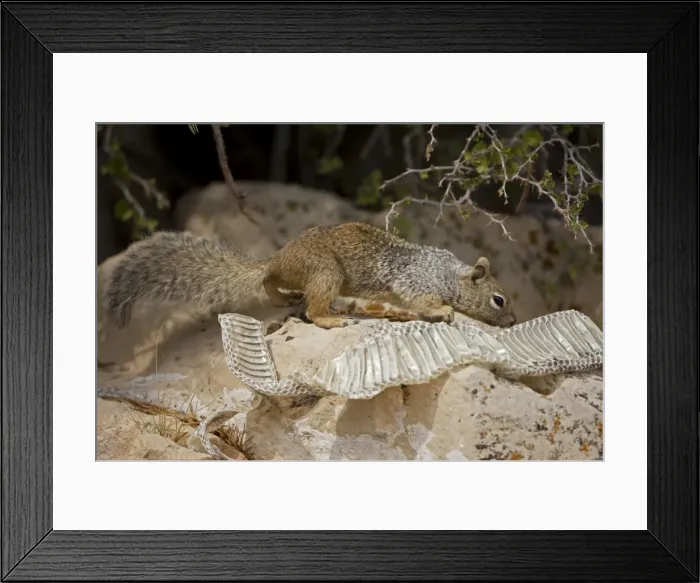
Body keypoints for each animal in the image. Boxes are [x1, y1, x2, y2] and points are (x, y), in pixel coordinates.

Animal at [105, 221, 517, 330]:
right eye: (499, 299)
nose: (514, 322)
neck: (451, 273)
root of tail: (277, 257)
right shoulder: (417, 281)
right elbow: (424, 301)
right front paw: (443, 312)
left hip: (300, 275)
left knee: (270, 283)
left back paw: (283, 296)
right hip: (324, 272)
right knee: (313, 311)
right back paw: (330, 319)